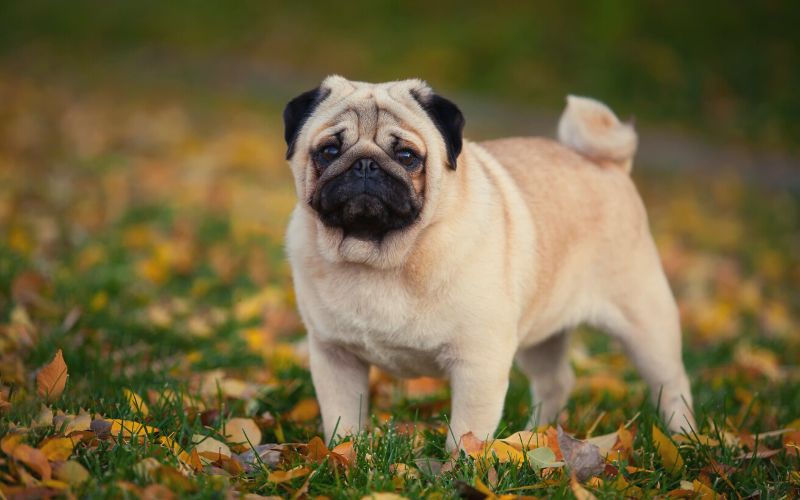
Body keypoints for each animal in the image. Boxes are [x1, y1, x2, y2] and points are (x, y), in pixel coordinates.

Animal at [282, 75, 692, 450]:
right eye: (329, 151)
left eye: (407, 157)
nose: (365, 165)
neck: (380, 258)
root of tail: (609, 164)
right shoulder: (334, 356)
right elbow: (343, 418)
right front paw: (345, 456)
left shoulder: (478, 362)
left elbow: (468, 431)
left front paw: (458, 469)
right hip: (543, 334)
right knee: (555, 382)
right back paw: (535, 436)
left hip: (646, 324)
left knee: (672, 383)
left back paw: (683, 438)